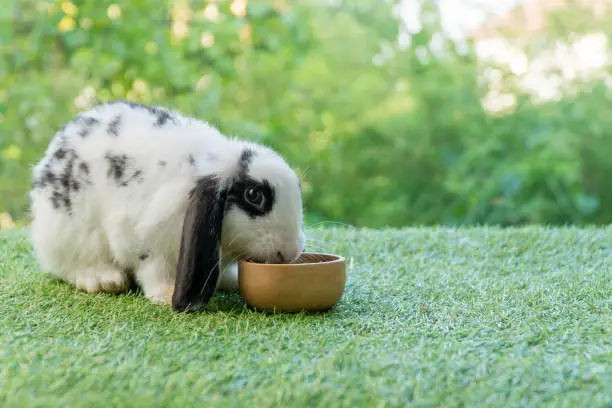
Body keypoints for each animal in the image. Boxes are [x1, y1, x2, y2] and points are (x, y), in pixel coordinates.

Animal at [28, 101, 306, 312]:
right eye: (254, 195)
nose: (289, 252)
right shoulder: (144, 240)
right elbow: (153, 270)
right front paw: (166, 293)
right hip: (72, 233)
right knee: (68, 265)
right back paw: (104, 280)